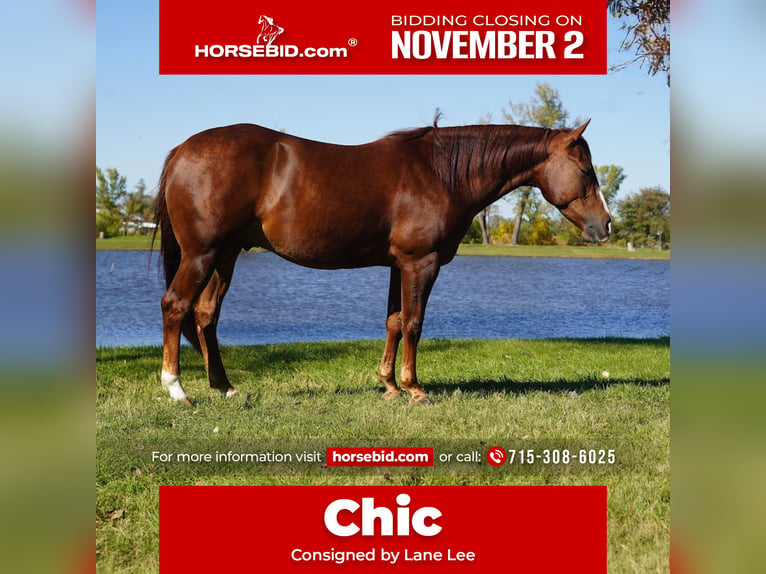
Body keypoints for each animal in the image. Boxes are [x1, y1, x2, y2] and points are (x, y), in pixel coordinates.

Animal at [152, 119, 611, 405]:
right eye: (586, 171)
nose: (605, 226)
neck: (441, 174)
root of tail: (182, 150)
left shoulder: (398, 265)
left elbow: (393, 321)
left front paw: (389, 385)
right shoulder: (421, 263)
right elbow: (413, 323)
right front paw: (414, 388)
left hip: (225, 255)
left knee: (206, 315)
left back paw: (224, 387)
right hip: (201, 254)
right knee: (175, 306)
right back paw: (176, 390)